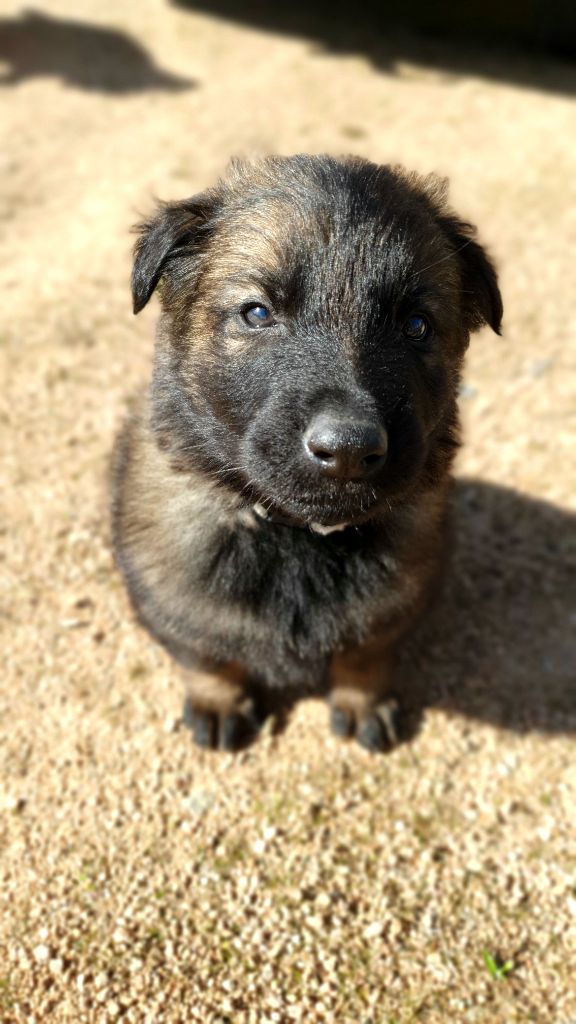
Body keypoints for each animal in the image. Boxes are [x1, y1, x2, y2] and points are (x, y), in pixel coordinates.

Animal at [111, 157, 498, 753]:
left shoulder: (392, 602)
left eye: (416, 325)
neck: (295, 536)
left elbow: (365, 653)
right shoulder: (175, 598)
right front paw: (219, 702)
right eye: (256, 313)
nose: (347, 449)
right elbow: (208, 654)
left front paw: (362, 703)